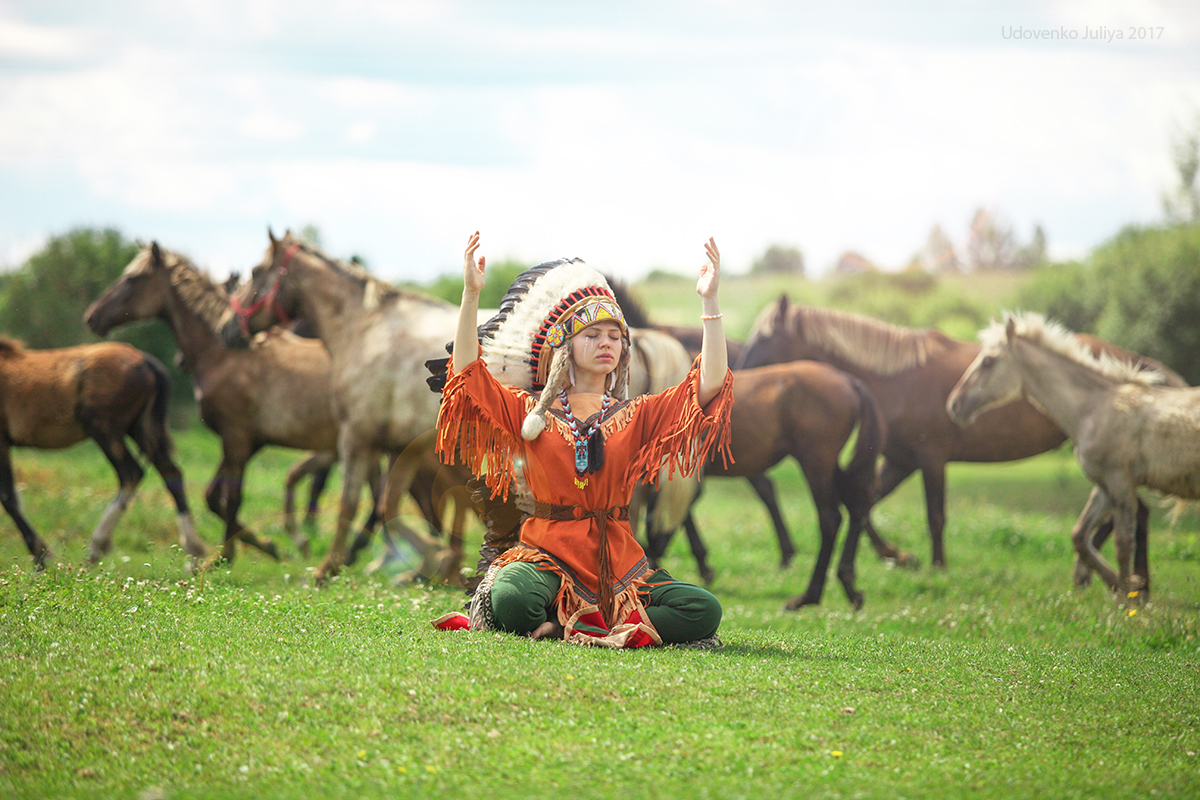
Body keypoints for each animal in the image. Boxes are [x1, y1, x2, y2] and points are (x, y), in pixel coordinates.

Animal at [0, 337, 206, 568]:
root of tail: (143, 360)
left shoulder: (1, 441)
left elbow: (8, 498)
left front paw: (41, 556)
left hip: (103, 429)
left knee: (131, 473)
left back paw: (96, 546)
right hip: (139, 428)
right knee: (170, 472)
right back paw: (192, 555)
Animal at [84, 242, 390, 563]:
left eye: (132, 279)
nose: (92, 316)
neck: (225, 355)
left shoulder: (237, 438)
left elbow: (232, 499)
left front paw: (226, 556)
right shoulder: (247, 442)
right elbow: (213, 497)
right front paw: (267, 545)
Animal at [220, 230, 462, 583]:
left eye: (255, 271)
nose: (226, 328)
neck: (366, 330)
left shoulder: (356, 438)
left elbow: (350, 504)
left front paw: (328, 567)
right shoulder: (400, 446)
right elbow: (387, 506)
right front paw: (433, 558)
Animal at [738, 296, 1188, 571]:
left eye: (765, 336)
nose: (738, 372)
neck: (895, 379)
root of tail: (1138, 364)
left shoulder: (930, 459)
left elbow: (934, 515)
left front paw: (936, 566)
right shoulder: (899, 461)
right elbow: (864, 505)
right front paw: (899, 556)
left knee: (1131, 513)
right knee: (1134, 514)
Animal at [947, 312, 1200, 597]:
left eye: (988, 361)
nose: (954, 404)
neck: (1095, 408)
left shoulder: (1120, 481)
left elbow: (1123, 544)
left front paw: (1127, 596)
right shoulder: (1104, 485)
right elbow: (1079, 535)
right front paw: (1121, 585)